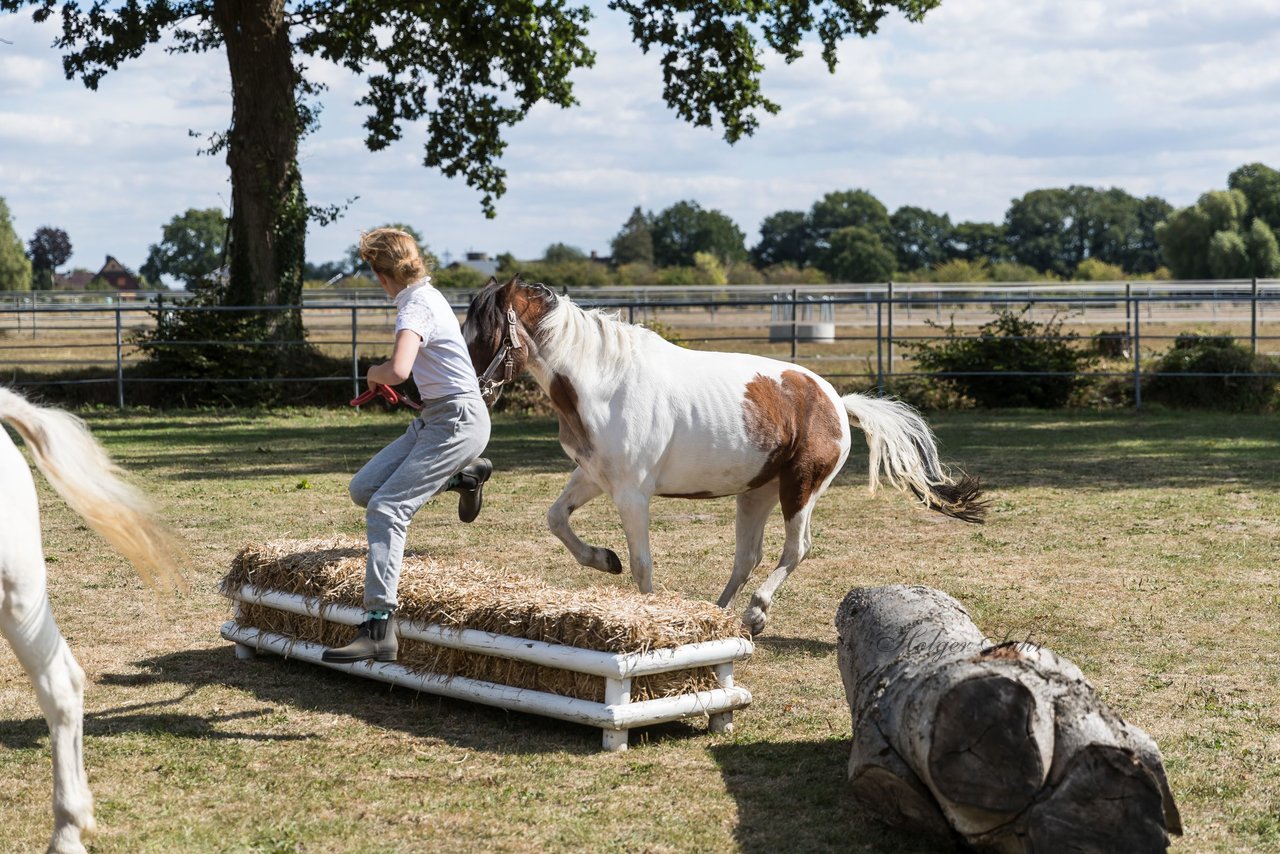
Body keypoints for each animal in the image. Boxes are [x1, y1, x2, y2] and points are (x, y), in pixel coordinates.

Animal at [465, 280, 983, 635]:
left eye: (485, 335)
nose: (470, 388)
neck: (604, 382)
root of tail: (836, 399)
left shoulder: (632, 493)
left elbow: (642, 563)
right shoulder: (592, 476)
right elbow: (557, 519)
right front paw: (603, 559)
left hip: (800, 488)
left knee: (795, 549)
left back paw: (754, 612)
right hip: (757, 493)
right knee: (747, 556)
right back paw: (720, 614)